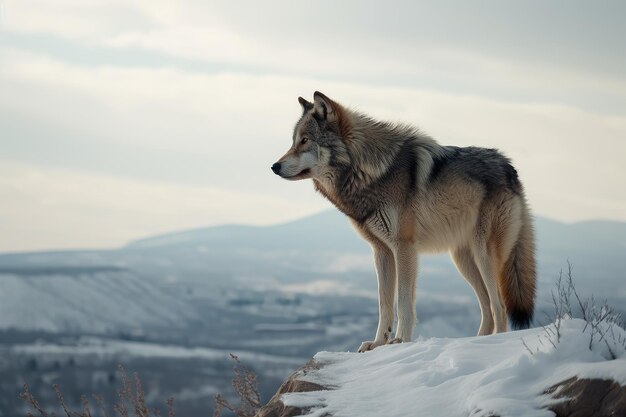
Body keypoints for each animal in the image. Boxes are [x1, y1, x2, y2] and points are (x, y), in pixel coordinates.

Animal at [270, 92, 532, 352]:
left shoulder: (404, 247)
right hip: (463, 260)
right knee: (487, 307)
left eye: (304, 140)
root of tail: (510, 167)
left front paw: (401, 341)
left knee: (500, 307)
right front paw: (378, 343)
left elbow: (404, 301)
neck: (369, 171)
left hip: (483, 255)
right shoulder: (381, 251)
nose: (274, 166)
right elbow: (384, 304)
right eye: (294, 141)